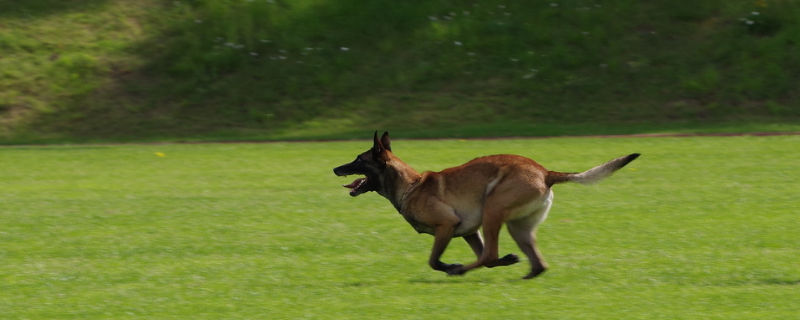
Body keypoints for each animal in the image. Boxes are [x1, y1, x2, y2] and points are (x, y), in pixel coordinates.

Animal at [334, 131, 640, 278]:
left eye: (359, 159)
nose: (336, 168)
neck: (411, 185)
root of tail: (545, 172)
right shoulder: (469, 231)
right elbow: (482, 256)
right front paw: (506, 260)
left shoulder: (447, 225)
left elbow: (434, 260)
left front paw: (450, 266)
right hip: (517, 226)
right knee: (529, 262)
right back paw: (526, 272)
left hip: (493, 210)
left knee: (490, 254)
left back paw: (460, 270)